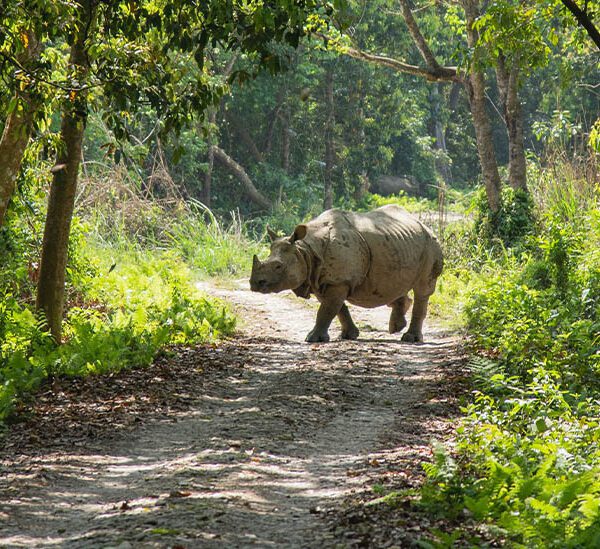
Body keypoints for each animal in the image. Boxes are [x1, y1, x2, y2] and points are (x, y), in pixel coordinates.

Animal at [248, 206, 440, 342]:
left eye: (278, 266)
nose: (254, 284)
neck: (305, 251)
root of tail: (423, 224)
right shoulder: (321, 280)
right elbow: (336, 308)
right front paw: (349, 335)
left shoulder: (338, 281)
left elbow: (327, 309)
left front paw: (312, 339)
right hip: (398, 245)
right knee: (391, 286)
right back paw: (396, 327)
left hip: (430, 243)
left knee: (422, 289)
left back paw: (409, 338)